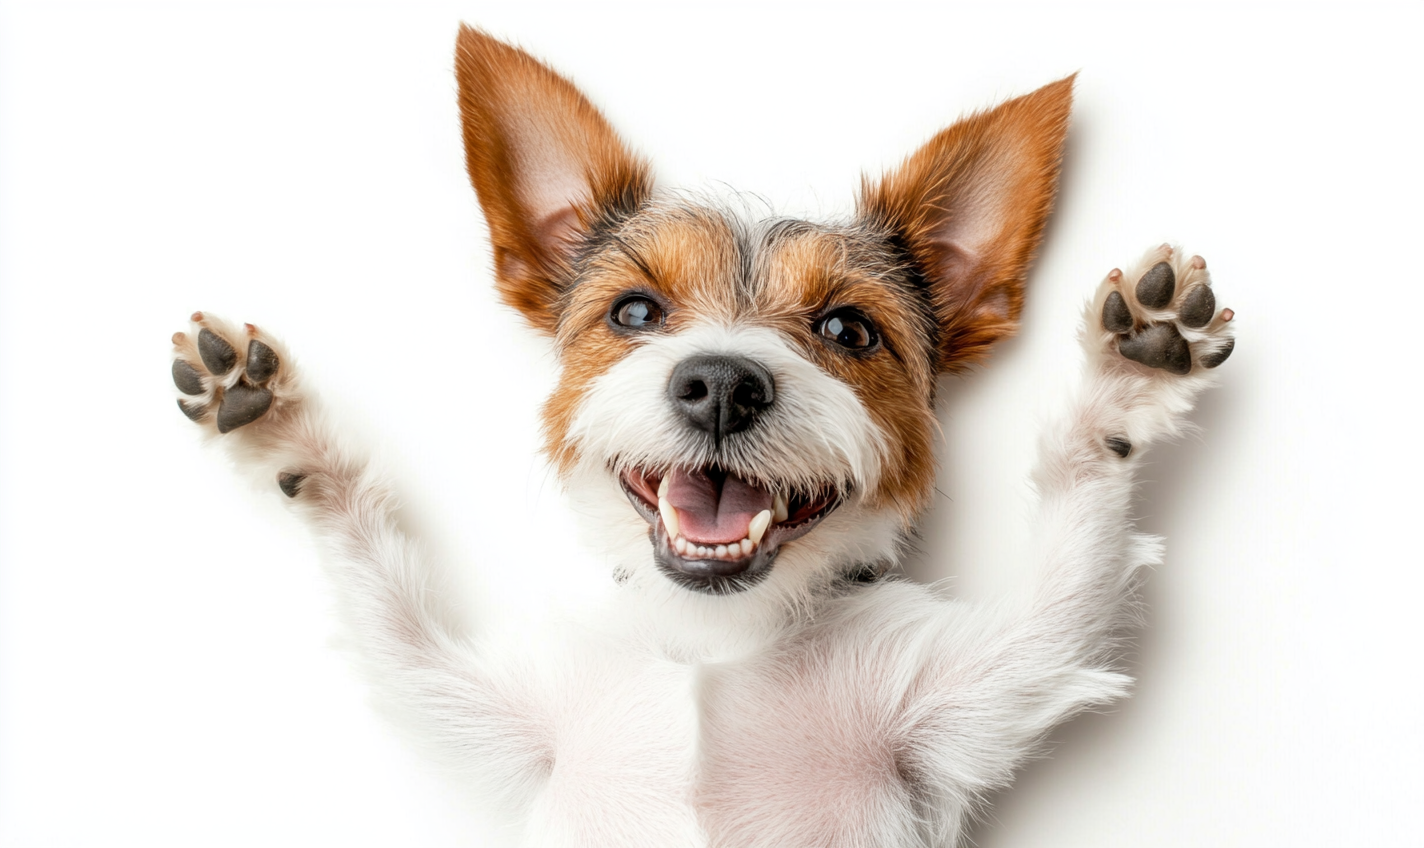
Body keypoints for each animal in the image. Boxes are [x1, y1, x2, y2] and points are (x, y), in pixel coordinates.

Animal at [166, 26, 1236, 848]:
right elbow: (383, 594)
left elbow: (1073, 547)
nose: (722, 384)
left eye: (849, 329)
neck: (715, 644)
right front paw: (279, 427)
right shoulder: (481, 698)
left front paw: (1132, 374)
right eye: (635, 311)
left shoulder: (989, 680)